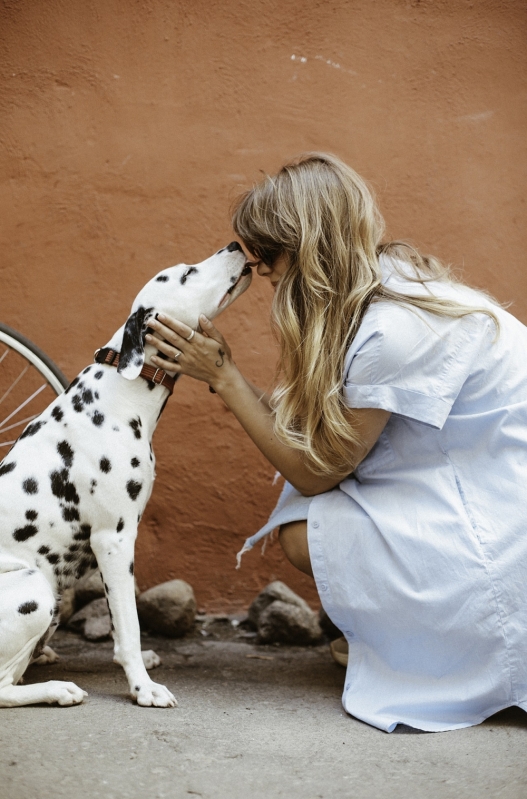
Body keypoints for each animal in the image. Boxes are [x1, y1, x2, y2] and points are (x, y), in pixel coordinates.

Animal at [0, 241, 252, 708]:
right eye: (186, 274)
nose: (234, 245)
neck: (119, 391)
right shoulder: (113, 540)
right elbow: (130, 626)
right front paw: (143, 688)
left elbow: (124, 622)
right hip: (34, 587)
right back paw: (57, 688)